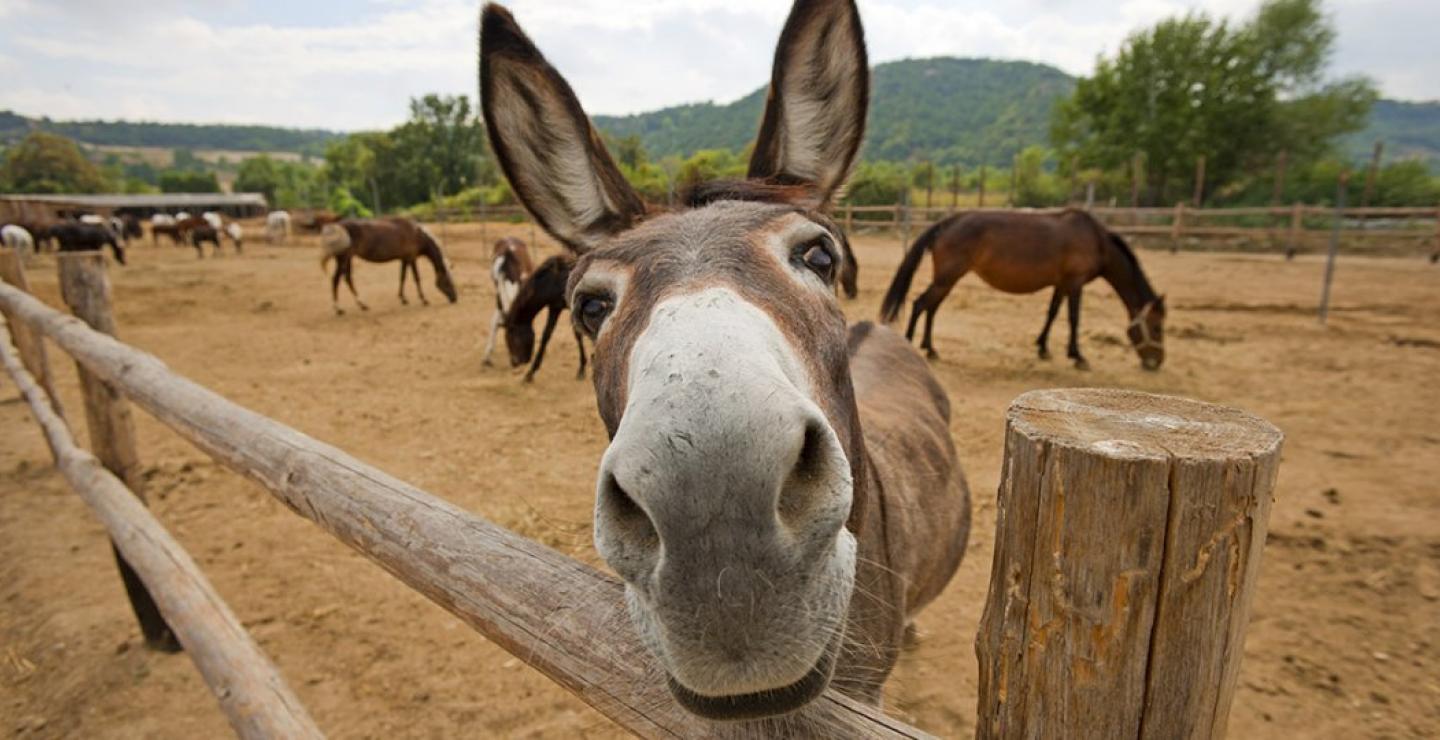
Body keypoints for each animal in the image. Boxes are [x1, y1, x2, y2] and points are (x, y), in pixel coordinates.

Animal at [321, 217, 455, 312]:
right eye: (447, 281)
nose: (455, 298)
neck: (417, 234)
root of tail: (338, 226)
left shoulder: (404, 259)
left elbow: (402, 277)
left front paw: (403, 298)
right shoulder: (411, 259)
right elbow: (416, 278)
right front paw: (424, 299)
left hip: (347, 259)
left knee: (347, 278)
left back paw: (362, 305)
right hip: (343, 259)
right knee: (336, 279)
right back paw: (339, 309)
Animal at [875, 207, 1169, 368]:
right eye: (1157, 327)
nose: (1156, 362)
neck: (1096, 240)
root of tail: (947, 222)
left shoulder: (1061, 284)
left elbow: (1052, 313)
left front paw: (1043, 348)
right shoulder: (1075, 284)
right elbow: (1074, 318)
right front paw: (1078, 356)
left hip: (948, 280)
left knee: (931, 307)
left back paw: (930, 348)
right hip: (947, 278)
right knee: (920, 304)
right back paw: (912, 346)